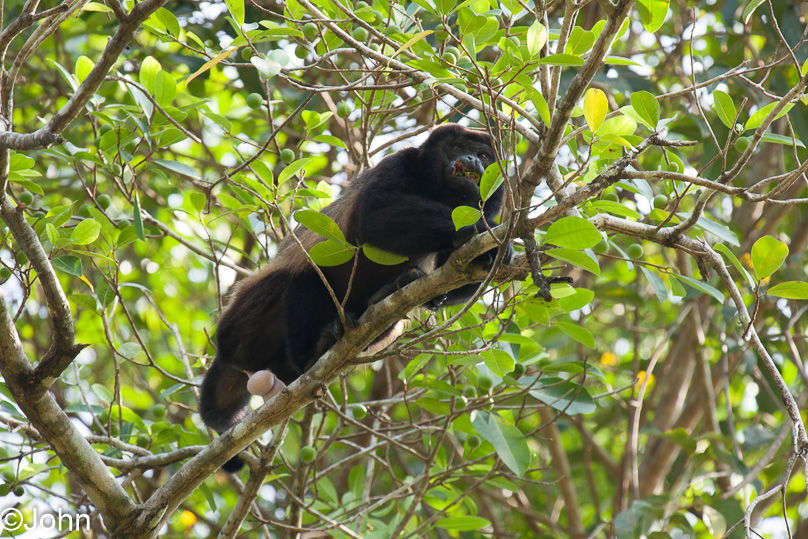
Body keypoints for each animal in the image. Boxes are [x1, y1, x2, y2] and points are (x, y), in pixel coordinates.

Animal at [199, 124, 511, 470]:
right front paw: (475, 226)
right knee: (302, 276)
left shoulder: (494, 198)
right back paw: (314, 353)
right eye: (456, 147)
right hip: (245, 323)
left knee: (391, 321)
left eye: (484, 154)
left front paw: (487, 255)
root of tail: (228, 355)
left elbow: (453, 272)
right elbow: (375, 214)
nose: (471, 159)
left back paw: (387, 295)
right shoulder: (398, 162)